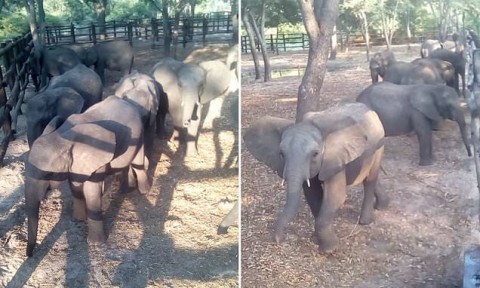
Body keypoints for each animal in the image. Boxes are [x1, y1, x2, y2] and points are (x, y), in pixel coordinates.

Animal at [25, 95, 150, 256]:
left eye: (48, 173)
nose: (29, 255)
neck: (62, 136)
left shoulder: (96, 156)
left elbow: (91, 191)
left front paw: (95, 244)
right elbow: (75, 186)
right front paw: (78, 220)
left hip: (139, 135)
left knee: (137, 162)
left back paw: (144, 191)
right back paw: (125, 190)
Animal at [246, 103, 388, 252]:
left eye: (315, 154)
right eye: (281, 154)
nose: (277, 240)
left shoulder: (334, 158)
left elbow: (335, 196)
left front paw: (329, 248)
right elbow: (313, 193)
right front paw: (318, 237)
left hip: (379, 142)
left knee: (370, 180)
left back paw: (365, 221)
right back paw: (382, 205)